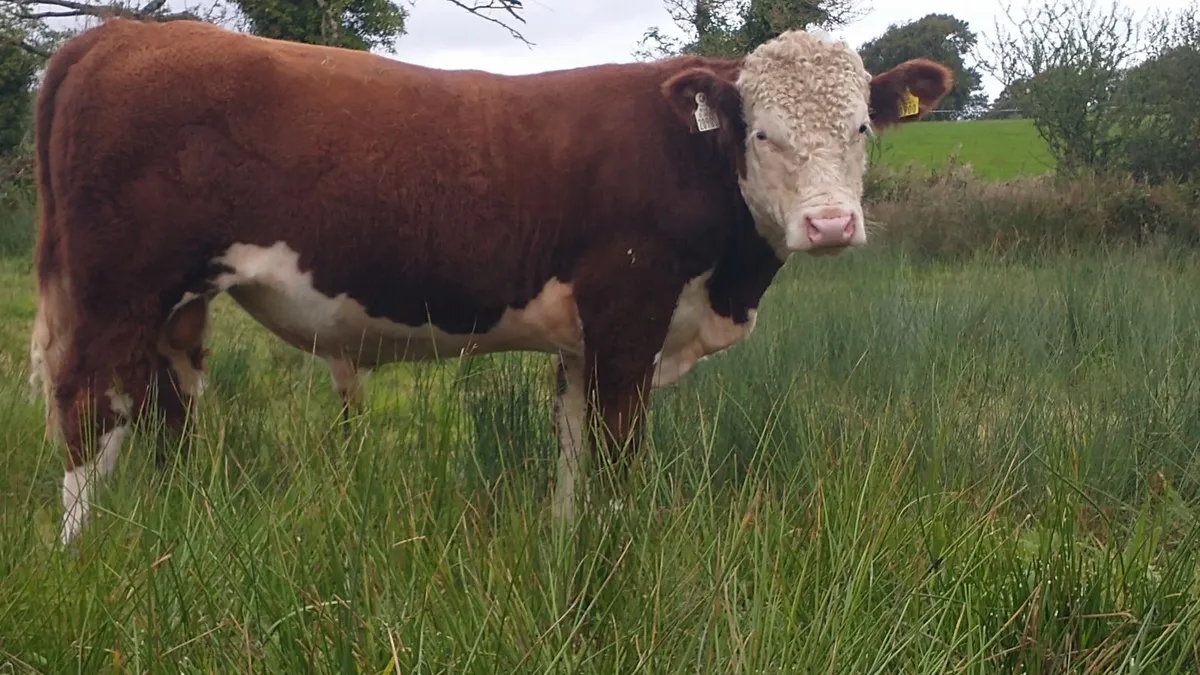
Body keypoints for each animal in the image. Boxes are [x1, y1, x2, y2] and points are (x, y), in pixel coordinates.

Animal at [27, 18, 952, 545]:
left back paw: (168, 523)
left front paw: (570, 547)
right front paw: (617, 562)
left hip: (176, 304)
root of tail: (120, 32)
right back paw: (83, 553)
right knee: (87, 405)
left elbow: (575, 457)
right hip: (120, 288)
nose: (830, 226)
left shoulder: (585, 343)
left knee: (162, 405)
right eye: (761, 133)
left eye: (863, 127)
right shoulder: (629, 319)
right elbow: (617, 458)